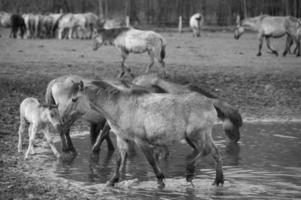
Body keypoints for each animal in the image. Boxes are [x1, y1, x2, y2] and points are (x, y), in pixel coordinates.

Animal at [68, 77, 223, 188]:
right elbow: (118, 160)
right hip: (205, 134)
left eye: (74, 99)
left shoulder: (140, 141)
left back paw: (190, 172)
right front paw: (112, 181)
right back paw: (218, 181)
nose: (66, 118)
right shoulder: (122, 138)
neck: (120, 106)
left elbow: (151, 161)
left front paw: (161, 181)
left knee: (206, 150)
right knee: (215, 153)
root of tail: (209, 103)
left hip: (195, 135)